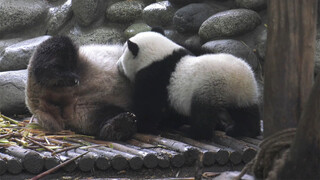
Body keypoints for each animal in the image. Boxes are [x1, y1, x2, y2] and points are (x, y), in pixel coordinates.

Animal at [116, 29, 262, 139]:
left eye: (123, 52)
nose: (118, 65)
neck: (157, 56)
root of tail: (236, 79)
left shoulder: (155, 76)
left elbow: (149, 104)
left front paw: (143, 125)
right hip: (245, 93)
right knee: (246, 111)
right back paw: (244, 130)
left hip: (208, 88)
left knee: (202, 115)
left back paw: (195, 133)